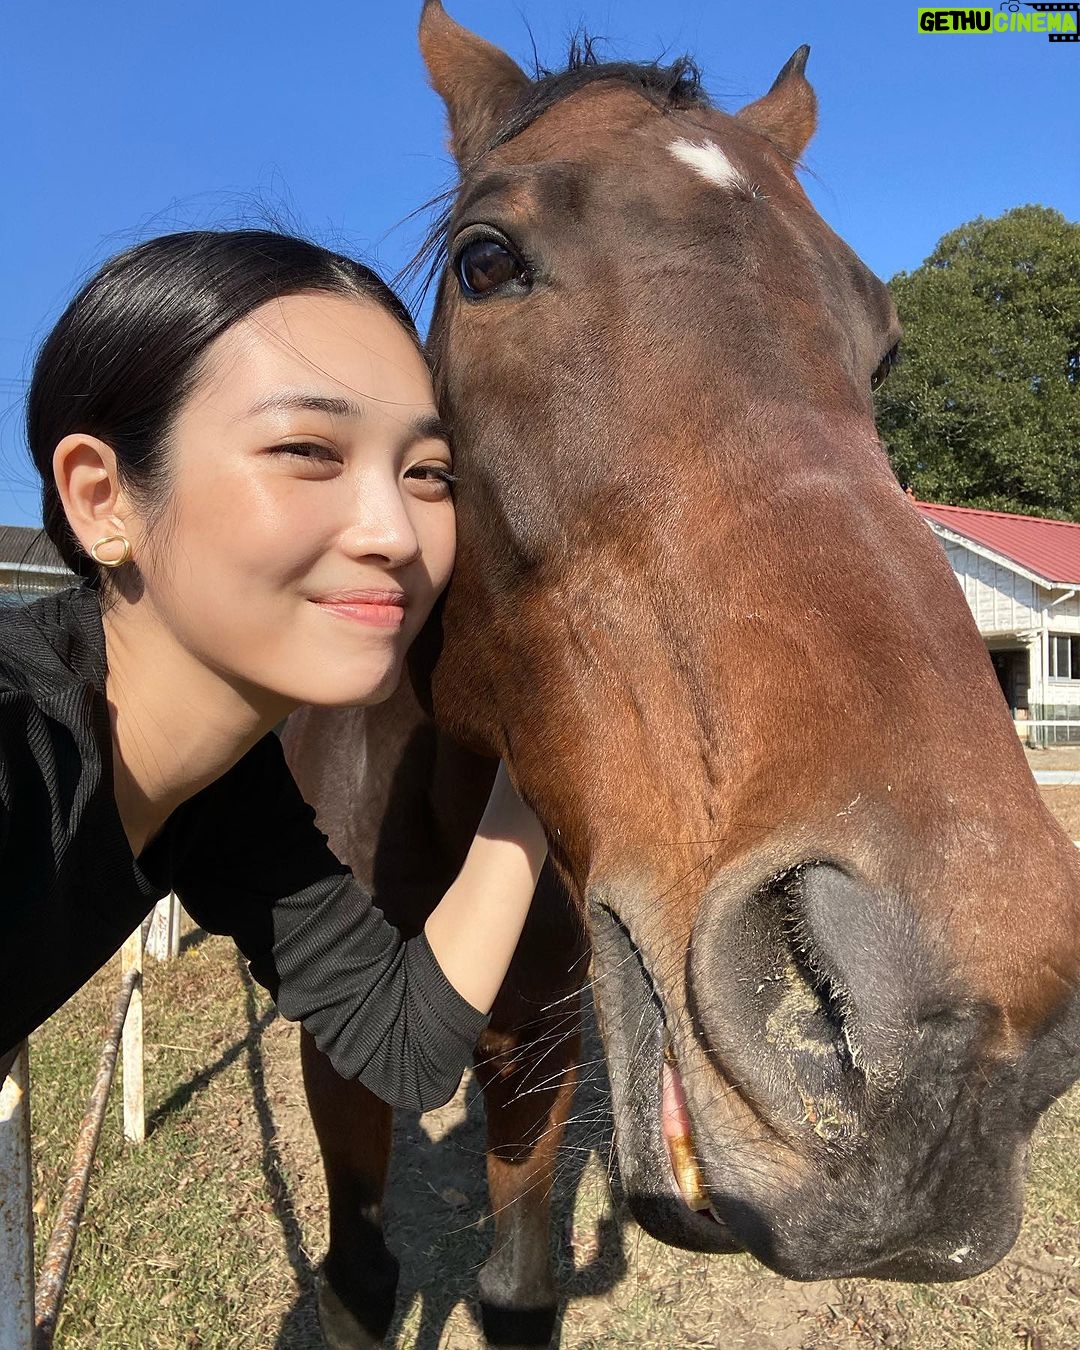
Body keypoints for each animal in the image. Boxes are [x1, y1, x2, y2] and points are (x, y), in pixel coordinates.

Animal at [281, 4, 1080, 1346]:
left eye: (882, 342)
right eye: (485, 262)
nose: (948, 1054)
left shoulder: (539, 1033)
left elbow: (518, 1286)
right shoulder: (333, 1058)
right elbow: (357, 1282)